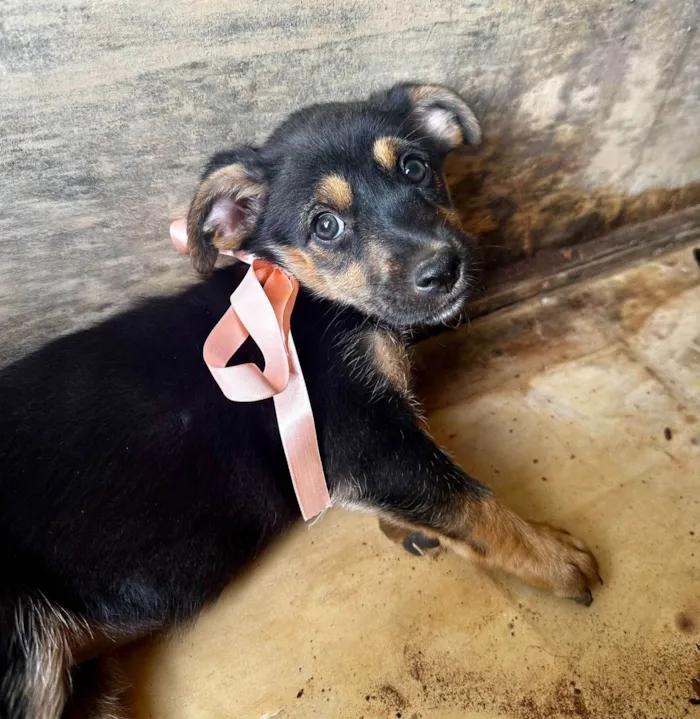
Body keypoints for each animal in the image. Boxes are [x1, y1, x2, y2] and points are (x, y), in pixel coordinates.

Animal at [0, 86, 600, 719]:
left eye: (415, 168)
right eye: (326, 225)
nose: (443, 269)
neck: (300, 291)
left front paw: (411, 530)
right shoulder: (366, 439)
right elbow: (469, 499)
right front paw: (554, 555)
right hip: (28, 658)